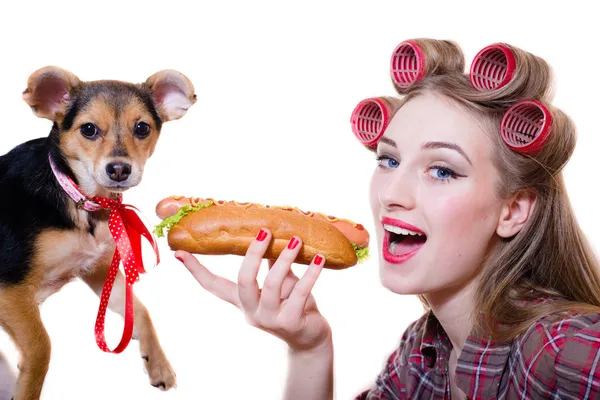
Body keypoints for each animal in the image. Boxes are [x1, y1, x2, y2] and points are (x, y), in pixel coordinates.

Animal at [0, 67, 197, 398]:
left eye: (142, 128)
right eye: (89, 129)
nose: (119, 169)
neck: (81, 199)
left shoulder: (98, 269)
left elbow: (138, 309)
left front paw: (157, 364)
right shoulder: (9, 290)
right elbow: (41, 347)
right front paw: (26, 389)